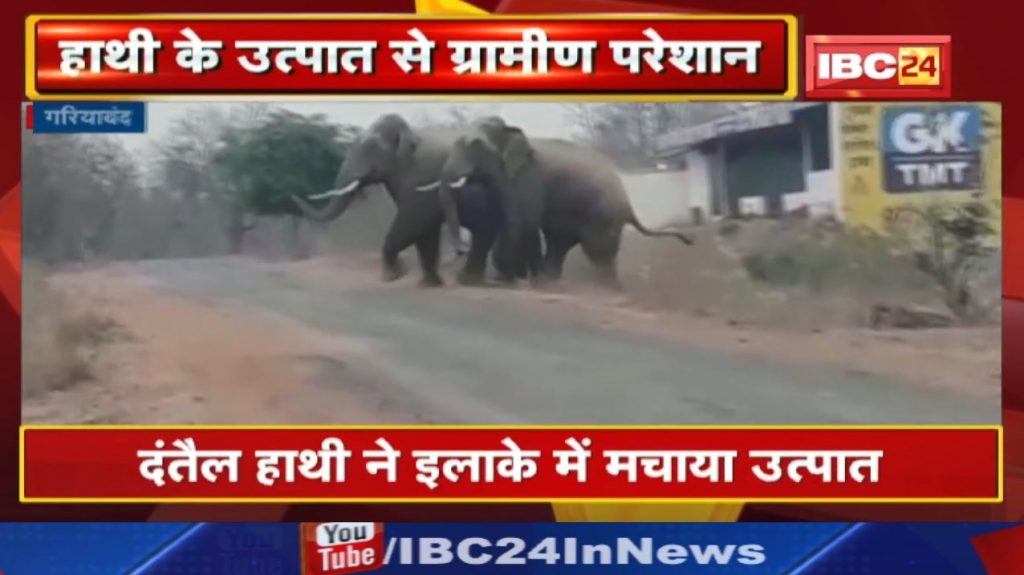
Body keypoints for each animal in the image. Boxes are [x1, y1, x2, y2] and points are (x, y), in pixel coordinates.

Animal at [289, 114, 517, 286]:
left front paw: (394, 275)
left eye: (370, 146)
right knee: (485, 231)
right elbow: (425, 233)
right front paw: (430, 284)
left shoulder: (420, 179)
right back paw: (471, 280)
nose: (292, 195)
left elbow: (413, 223)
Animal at [431, 120, 695, 287]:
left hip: (603, 214)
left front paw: (506, 277)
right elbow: (510, 219)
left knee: (598, 252)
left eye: (474, 146)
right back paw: (550, 280)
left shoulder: (529, 176)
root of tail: (627, 202)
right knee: (560, 241)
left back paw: (606, 290)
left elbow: (523, 220)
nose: (460, 250)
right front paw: (511, 277)